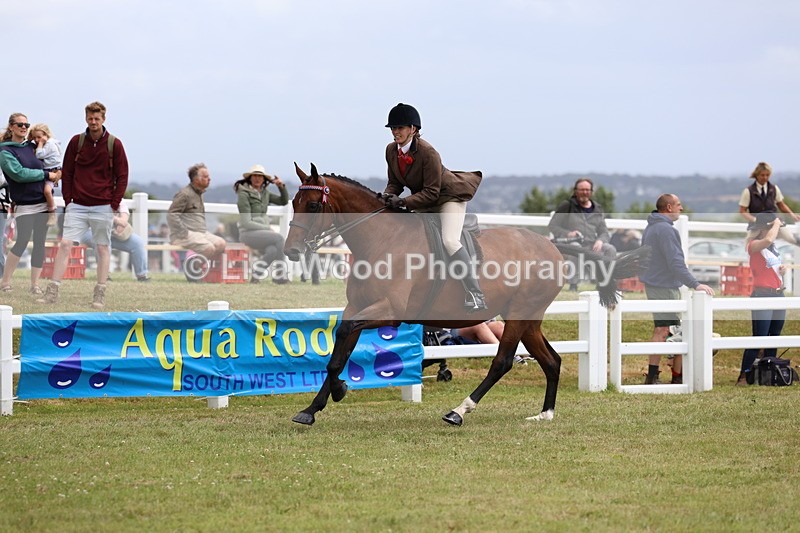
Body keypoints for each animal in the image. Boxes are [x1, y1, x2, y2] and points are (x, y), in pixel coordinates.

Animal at [283, 164, 648, 427]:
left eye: (313, 204)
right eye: (293, 203)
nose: (291, 251)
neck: (380, 240)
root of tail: (553, 246)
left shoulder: (388, 310)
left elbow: (345, 336)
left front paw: (339, 390)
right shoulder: (357, 306)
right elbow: (338, 350)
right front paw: (314, 407)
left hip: (520, 314)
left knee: (502, 361)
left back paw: (459, 411)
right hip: (527, 317)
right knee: (552, 360)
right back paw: (544, 414)